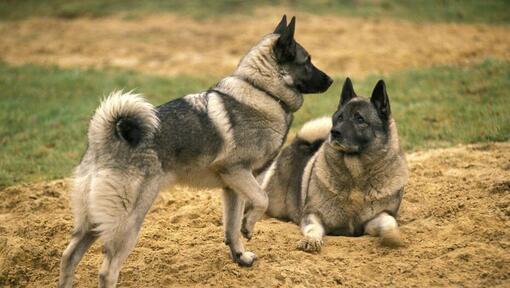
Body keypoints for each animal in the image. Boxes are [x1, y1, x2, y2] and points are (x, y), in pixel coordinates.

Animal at [57, 16, 332, 288]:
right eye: (307, 61)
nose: (331, 80)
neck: (262, 90)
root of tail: (102, 140)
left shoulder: (232, 187)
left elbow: (231, 227)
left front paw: (239, 256)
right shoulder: (238, 172)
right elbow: (261, 200)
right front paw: (249, 226)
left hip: (94, 220)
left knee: (68, 257)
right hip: (128, 221)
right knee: (107, 271)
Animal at [260, 77, 408, 253]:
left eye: (360, 119)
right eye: (339, 118)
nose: (334, 132)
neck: (356, 176)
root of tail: (299, 143)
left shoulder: (372, 220)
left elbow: (389, 221)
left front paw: (392, 236)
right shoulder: (313, 215)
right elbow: (313, 228)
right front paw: (311, 240)